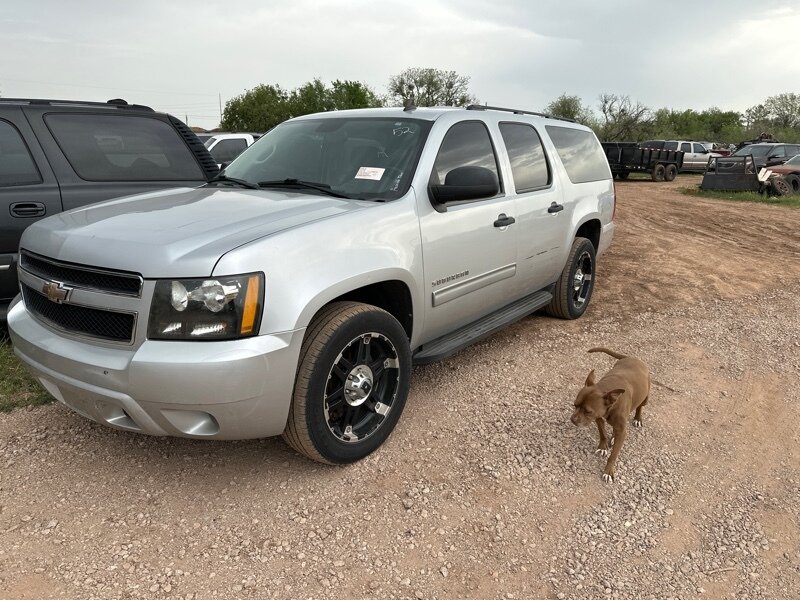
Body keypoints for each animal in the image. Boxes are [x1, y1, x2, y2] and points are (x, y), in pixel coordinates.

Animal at [571, 348, 651, 483]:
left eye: (588, 411)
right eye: (575, 405)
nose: (572, 420)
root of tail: (631, 357)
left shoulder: (621, 430)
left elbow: (613, 455)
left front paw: (608, 471)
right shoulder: (598, 418)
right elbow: (603, 433)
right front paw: (603, 447)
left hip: (645, 397)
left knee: (640, 406)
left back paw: (637, 419)